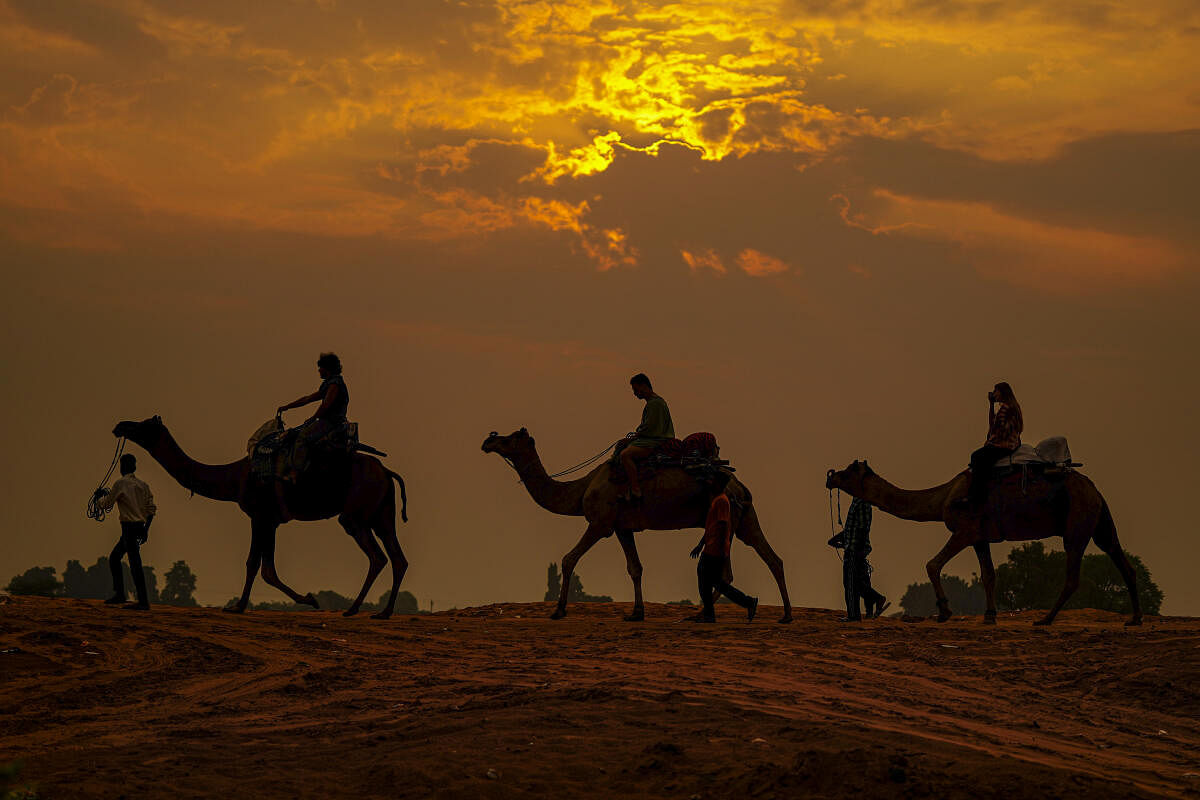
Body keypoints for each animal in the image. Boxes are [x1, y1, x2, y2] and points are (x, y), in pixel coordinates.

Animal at [112, 419, 412, 618]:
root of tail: (387, 472)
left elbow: (257, 565)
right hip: (382, 514)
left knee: (377, 556)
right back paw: (383, 612)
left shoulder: (260, 516)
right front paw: (307, 599)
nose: (120, 425)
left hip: (356, 514)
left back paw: (353, 609)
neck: (235, 478)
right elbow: (265, 567)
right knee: (397, 558)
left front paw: (240, 606)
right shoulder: (271, 520)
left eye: (143, 426)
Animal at [482, 429, 792, 623]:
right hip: (743, 519)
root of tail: (741, 485)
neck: (581, 490)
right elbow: (635, 568)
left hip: (730, 517)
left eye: (511, 438)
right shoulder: (622, 527)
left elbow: (569, 559)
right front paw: (636, 613)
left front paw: (558, 611)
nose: (488, 440)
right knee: (766, 560)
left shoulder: (600, 523)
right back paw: (780, 614)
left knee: (736, 568)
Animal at [825, 455, 1142, 623]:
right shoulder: (980, 537)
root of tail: (1094, 489)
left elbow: (932, 564)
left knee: (1073, 575)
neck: (944, 497)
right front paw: (990, 615)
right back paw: (1134, 619)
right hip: (1099, 521)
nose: (830, 476)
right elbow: (989, 575)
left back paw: (1045, 620)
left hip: (1077, 522)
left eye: (849, 471)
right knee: (1121, 560)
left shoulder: (964, 529)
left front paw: (945, 612)